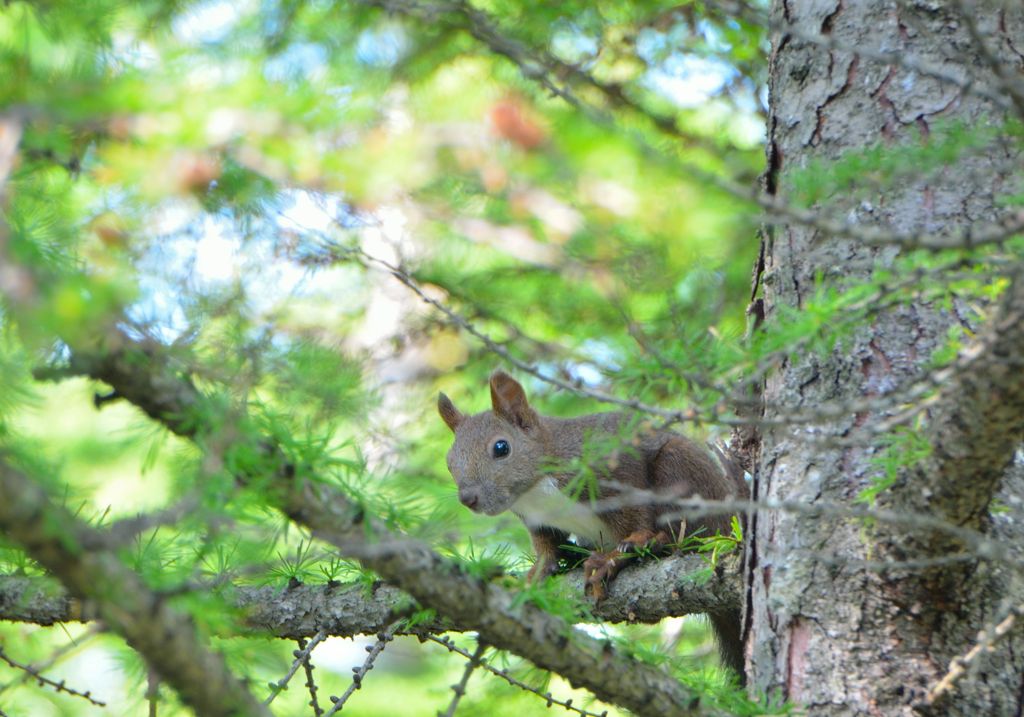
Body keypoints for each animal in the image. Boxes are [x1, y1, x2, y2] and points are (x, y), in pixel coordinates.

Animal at [436, 368, 749, 676]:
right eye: (449, 461)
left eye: (501, 447)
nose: (468, 498)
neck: (535, 491)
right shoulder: (538, 521)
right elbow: (546, 546)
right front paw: (538, 572)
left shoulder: (614, 473)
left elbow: (634, 518)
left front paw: (615, 556)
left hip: (680, 471)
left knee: (687, 533)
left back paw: (648, 544)